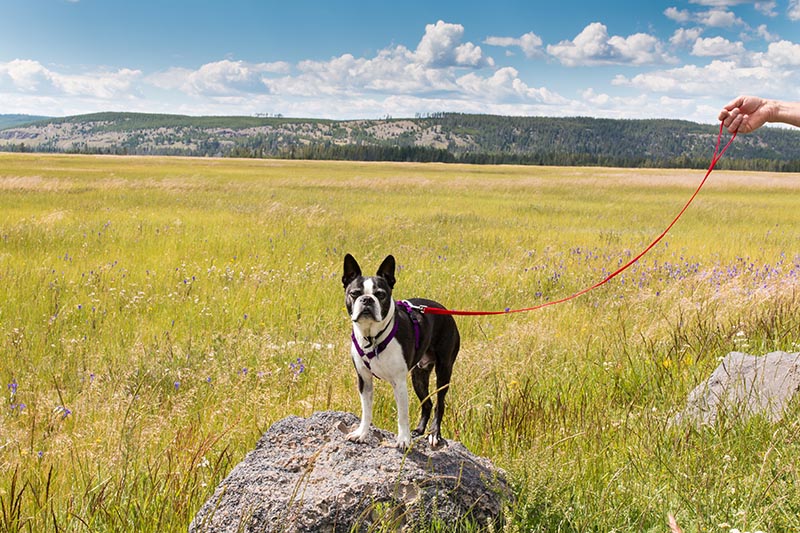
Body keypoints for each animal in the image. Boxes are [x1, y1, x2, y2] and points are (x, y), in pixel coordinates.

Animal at [340, 254, 460, 448]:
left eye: (381, 295)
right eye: (355, 293)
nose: (367, 299)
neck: (372, 338)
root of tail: (444, 310)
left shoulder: (399, 382)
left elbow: (402, 415)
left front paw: (403, 440)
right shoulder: (364, 379)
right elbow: (366, 410)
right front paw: (361, 433)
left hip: (444, 370)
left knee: (439, 404)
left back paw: (434, 433)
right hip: (419, 375)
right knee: (427, 403)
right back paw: (419, 430)